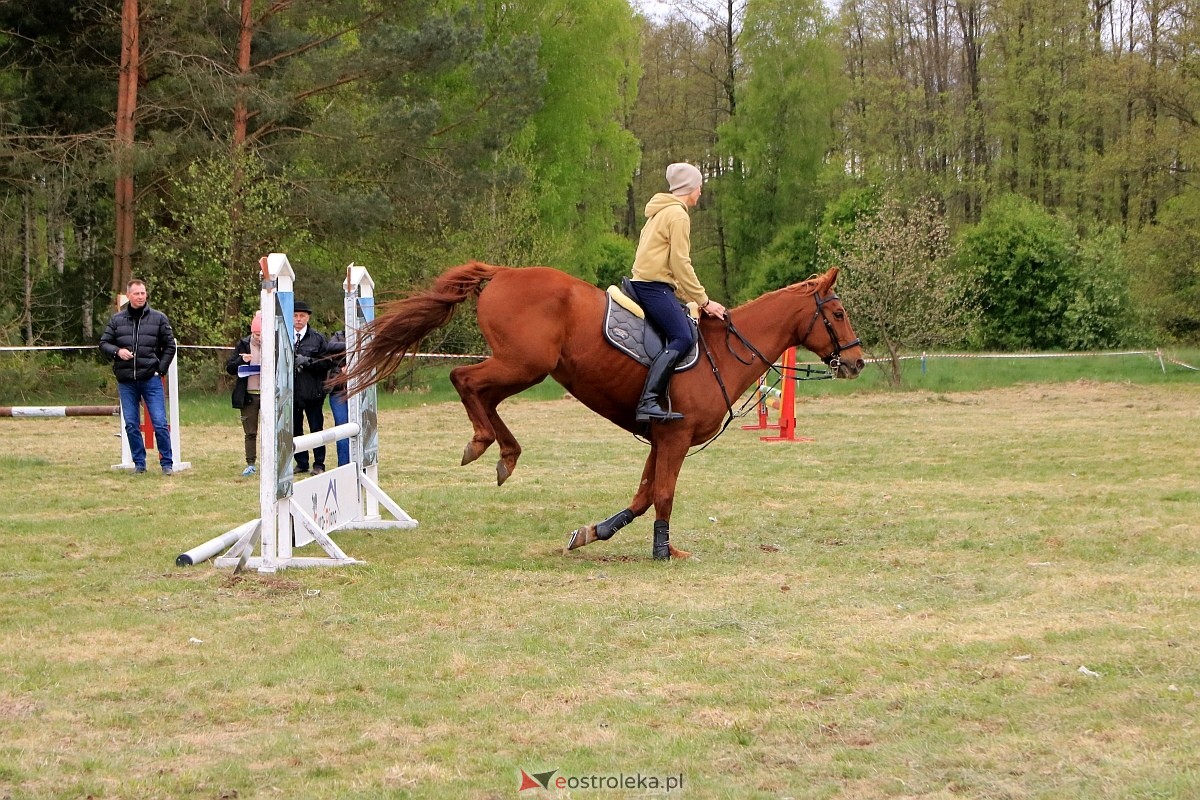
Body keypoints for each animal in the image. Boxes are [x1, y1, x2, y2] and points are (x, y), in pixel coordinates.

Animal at [338, 260, 864, 561]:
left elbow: (644, 495)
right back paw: (487, 445)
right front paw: (661, 551)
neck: (722, 352)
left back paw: (503, 451)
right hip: (525, 364)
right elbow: (664, 494)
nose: (857, 361)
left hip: (521, 367)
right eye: (838, 315)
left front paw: (594, 533)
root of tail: (503, 272)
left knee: (481, 393)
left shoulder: (660, 439)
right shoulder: (675, 439)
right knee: (463, 380)